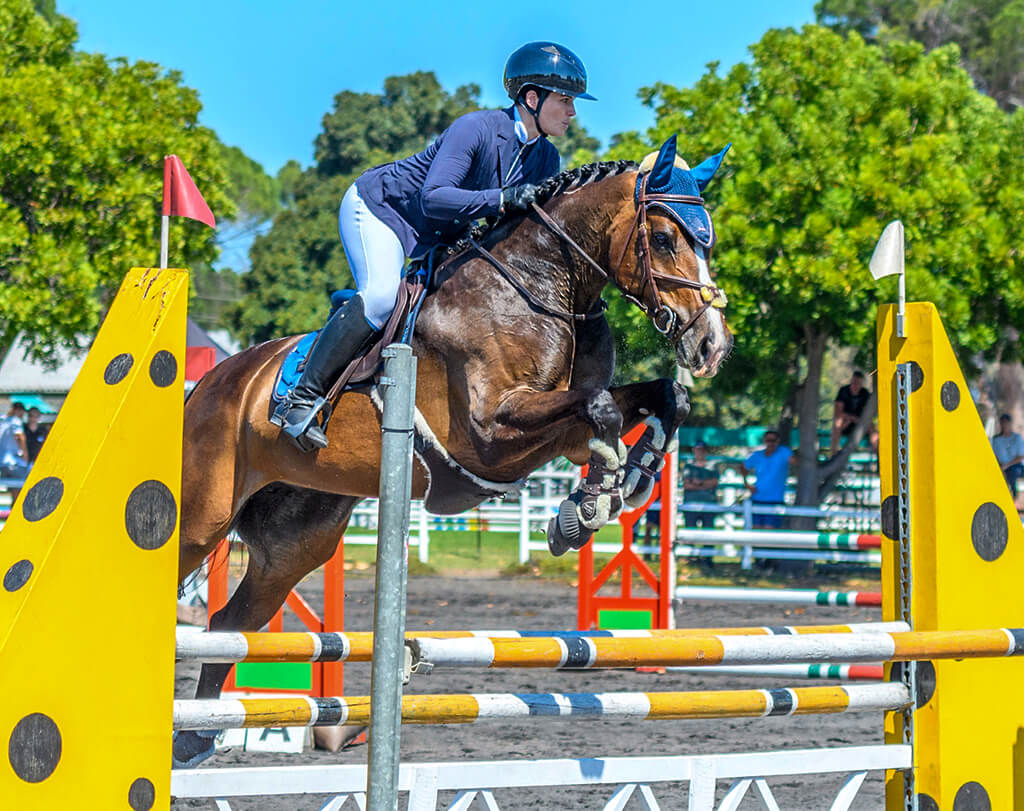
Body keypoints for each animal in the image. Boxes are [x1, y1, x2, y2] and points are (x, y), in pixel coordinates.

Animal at [172, 135, 733, 766]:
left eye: (706, 240)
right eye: (663, 239)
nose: (712, 344)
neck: (538, 289)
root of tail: (213, 382)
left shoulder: (550, 429)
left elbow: (659, 399)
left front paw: (614, 489)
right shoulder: (491, 435)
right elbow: (600, 412)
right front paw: (590, 502)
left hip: (296, 540)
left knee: (230, 622)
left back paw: (196, 735)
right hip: (199, 519)